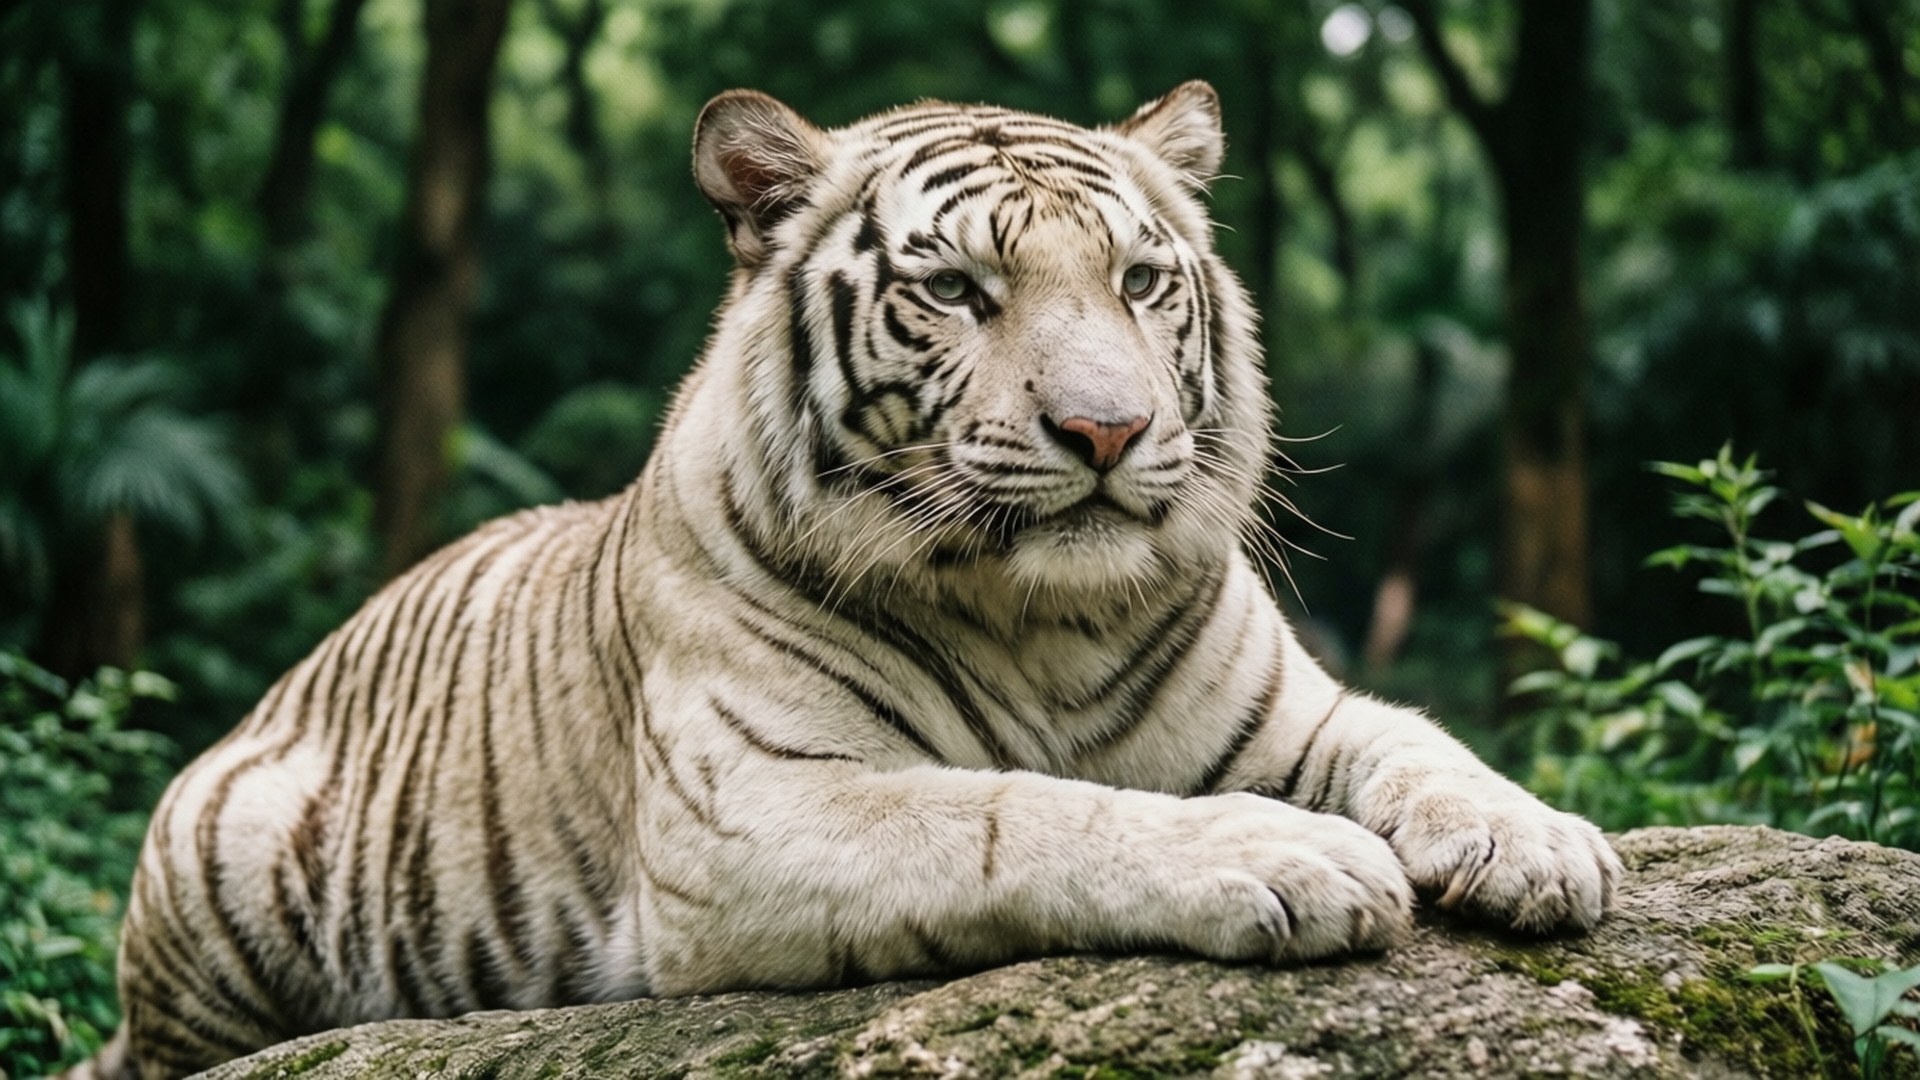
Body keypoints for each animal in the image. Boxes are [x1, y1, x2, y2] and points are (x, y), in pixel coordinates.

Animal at [73, 82, 1622, 1080]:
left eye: (1139, 281)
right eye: (955, 291)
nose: (1110, 430)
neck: (1047, 617)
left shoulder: (1295, 713)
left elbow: (1418, 742)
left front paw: (1540, 842)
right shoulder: (753, 813)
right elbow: (1021, 812)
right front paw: (1286, 856)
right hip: (220, 844)